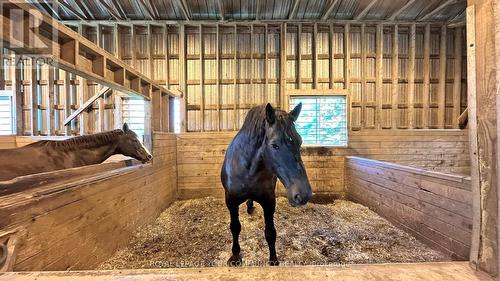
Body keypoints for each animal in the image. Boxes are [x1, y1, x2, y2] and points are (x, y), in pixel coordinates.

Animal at [220, 102, 310, 264]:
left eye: (299, 141)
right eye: (274, 145)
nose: (303, 194)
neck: (248, 169)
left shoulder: (269, 202)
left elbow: (270, 233)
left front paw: (273, 259)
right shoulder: (231, 201)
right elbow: (235, 228)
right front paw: (235, 256)